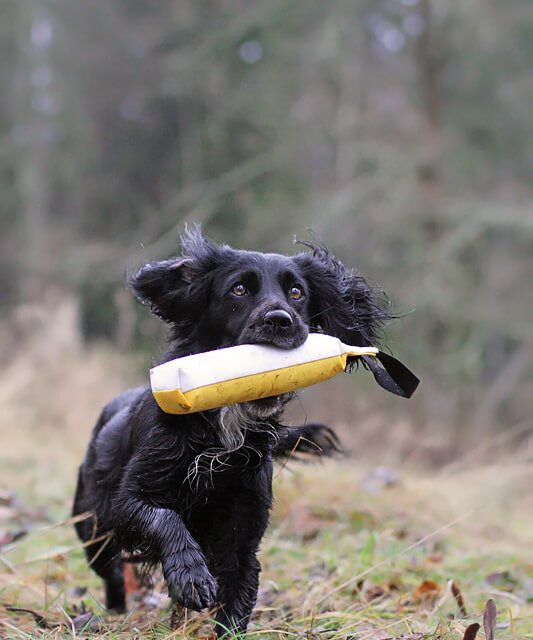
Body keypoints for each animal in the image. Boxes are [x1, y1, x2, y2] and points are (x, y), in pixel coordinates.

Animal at [74, 229, 400, 636]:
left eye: (297, 293)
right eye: (239, 289)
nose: (280, 320)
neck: (227, 423)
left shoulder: (242, 535)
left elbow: (237, 602)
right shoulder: (128, 500)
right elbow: (165, 518)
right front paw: (190, 574)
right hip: (91, 528)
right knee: (112, 574)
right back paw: (115, 613)